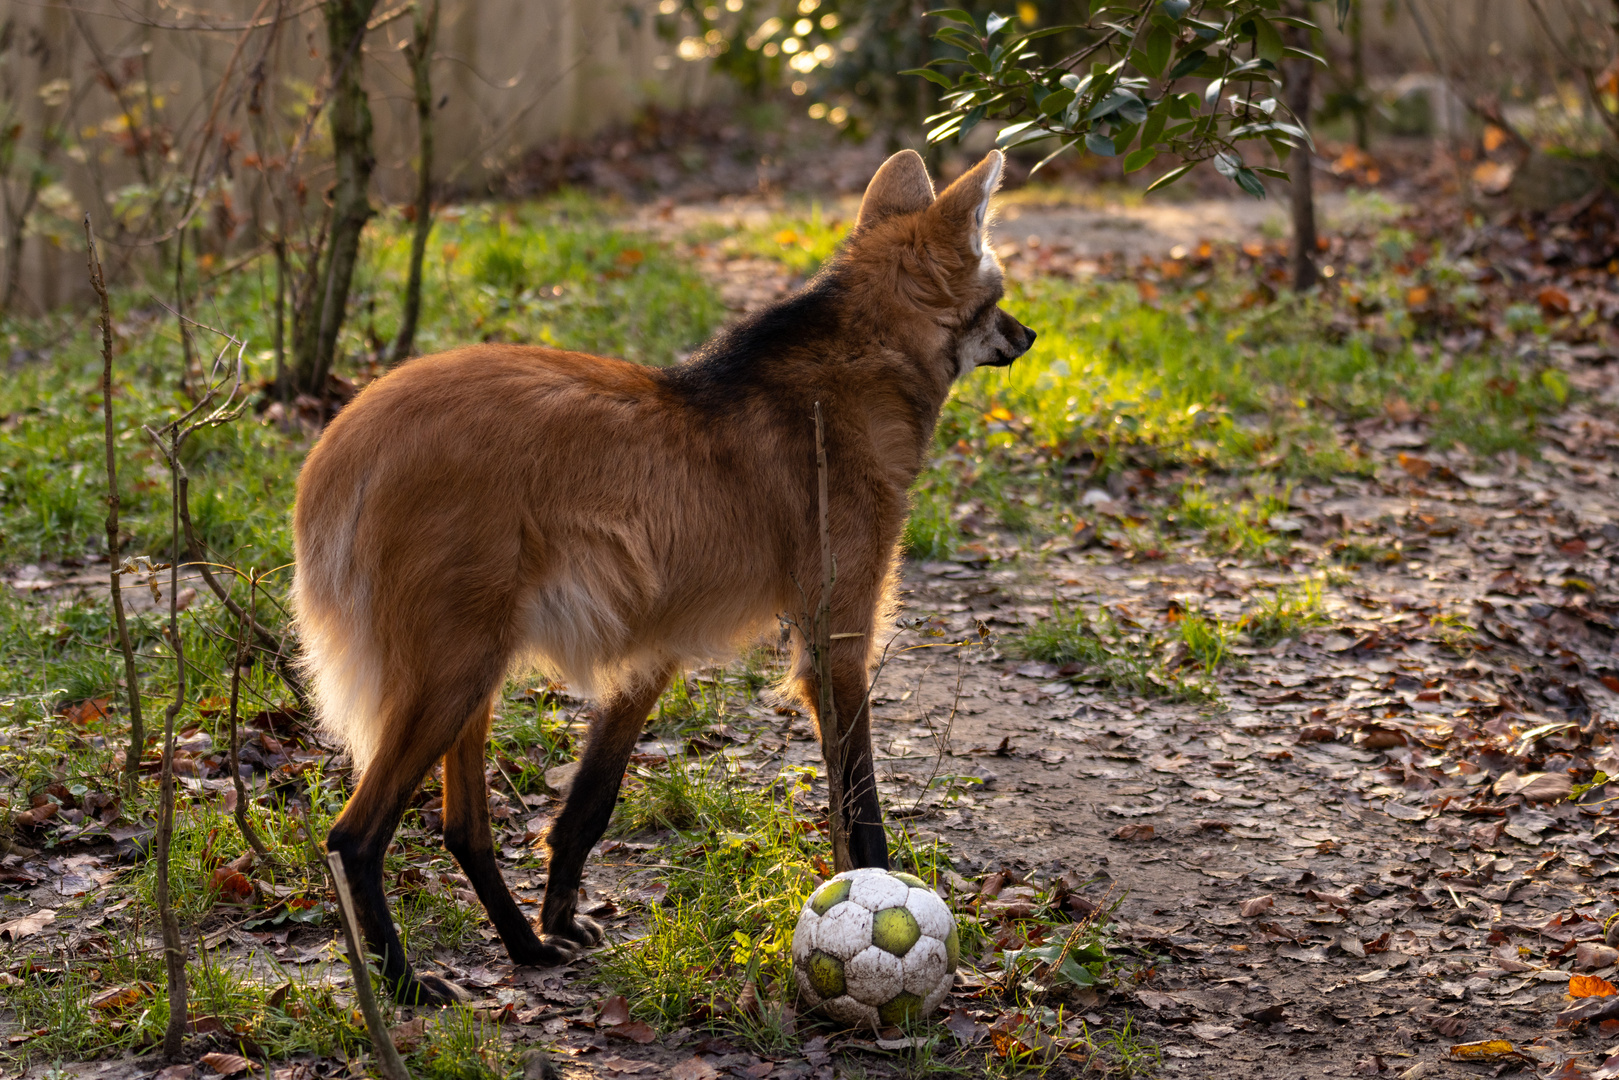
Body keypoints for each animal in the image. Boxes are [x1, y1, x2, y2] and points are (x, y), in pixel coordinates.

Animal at [297, 145, 1036, 1003]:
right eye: (997, 298)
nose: (1027, 333)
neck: (853, 382)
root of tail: (345, 436)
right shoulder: (835, 637)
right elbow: (860, 805)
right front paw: (889, 902)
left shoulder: (657, 643)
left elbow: (591, 799)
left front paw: (560, 917)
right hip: (455, 665)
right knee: (354, 834)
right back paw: (406, 984)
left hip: (471, 661)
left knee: (461, 826)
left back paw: (524, 946)